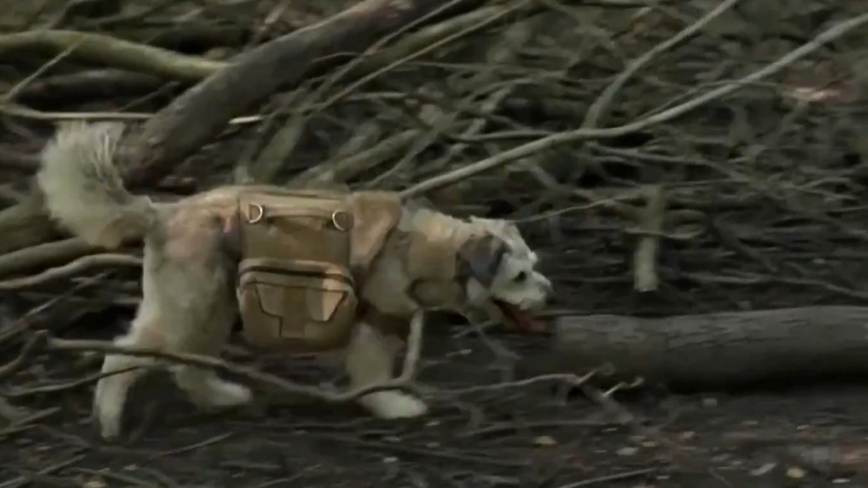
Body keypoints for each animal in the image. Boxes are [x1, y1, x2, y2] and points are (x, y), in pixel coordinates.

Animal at [35, 121, 556, 438]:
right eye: (520, 275)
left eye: (535, 263)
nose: (549, 293)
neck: (425, 249)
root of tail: (159, 213)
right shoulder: (371, 322)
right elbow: (373, 374)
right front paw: (393, 406)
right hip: (189, 304)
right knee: (125, 354)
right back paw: (108, 418)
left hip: (213, 305)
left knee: (189, 363)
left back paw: (221, 397)